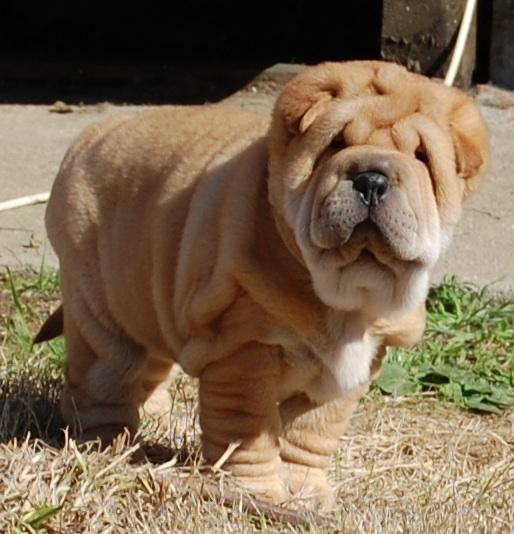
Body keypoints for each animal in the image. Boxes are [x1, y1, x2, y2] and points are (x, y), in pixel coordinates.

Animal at [37, 60, 488, 508]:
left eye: (421, 157)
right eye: (336, 144)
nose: (371, 179)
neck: (346, 299)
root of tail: (89, 138)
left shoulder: (353, 367)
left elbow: (311, 433)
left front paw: (305, 492)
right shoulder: (243, 353)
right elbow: (247, 430)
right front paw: (255, 492)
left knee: (149, 366)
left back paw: (152, 412)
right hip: (102, 315)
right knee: (103, 380)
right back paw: (107, 444)